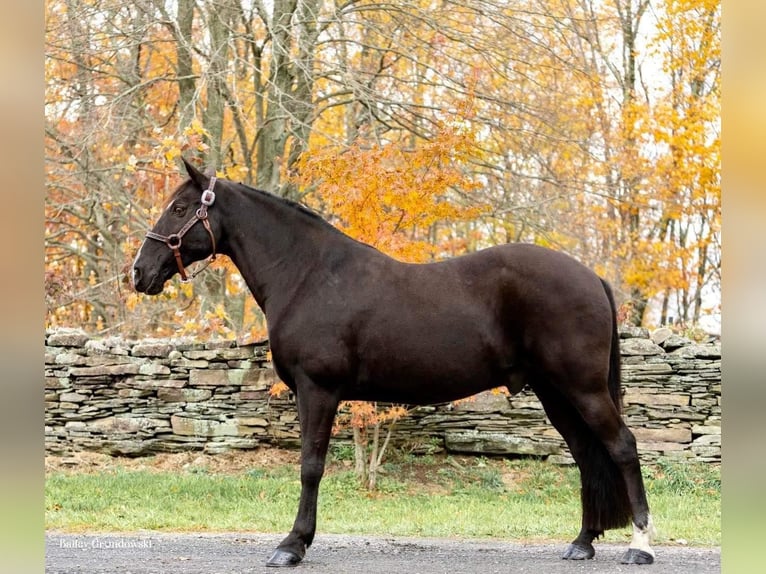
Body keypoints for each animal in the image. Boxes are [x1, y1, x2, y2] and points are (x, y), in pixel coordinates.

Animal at [135, 160, 656, 568]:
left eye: (180, 208)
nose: (140, 272)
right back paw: (582, 543)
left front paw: (292, 545)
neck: (307, 274)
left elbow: (310, 465)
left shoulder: (317, 389)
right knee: (588, 455)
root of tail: (592, 277)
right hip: (556, 393)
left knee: (622, 447)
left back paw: (640, 546)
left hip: (583, 388)